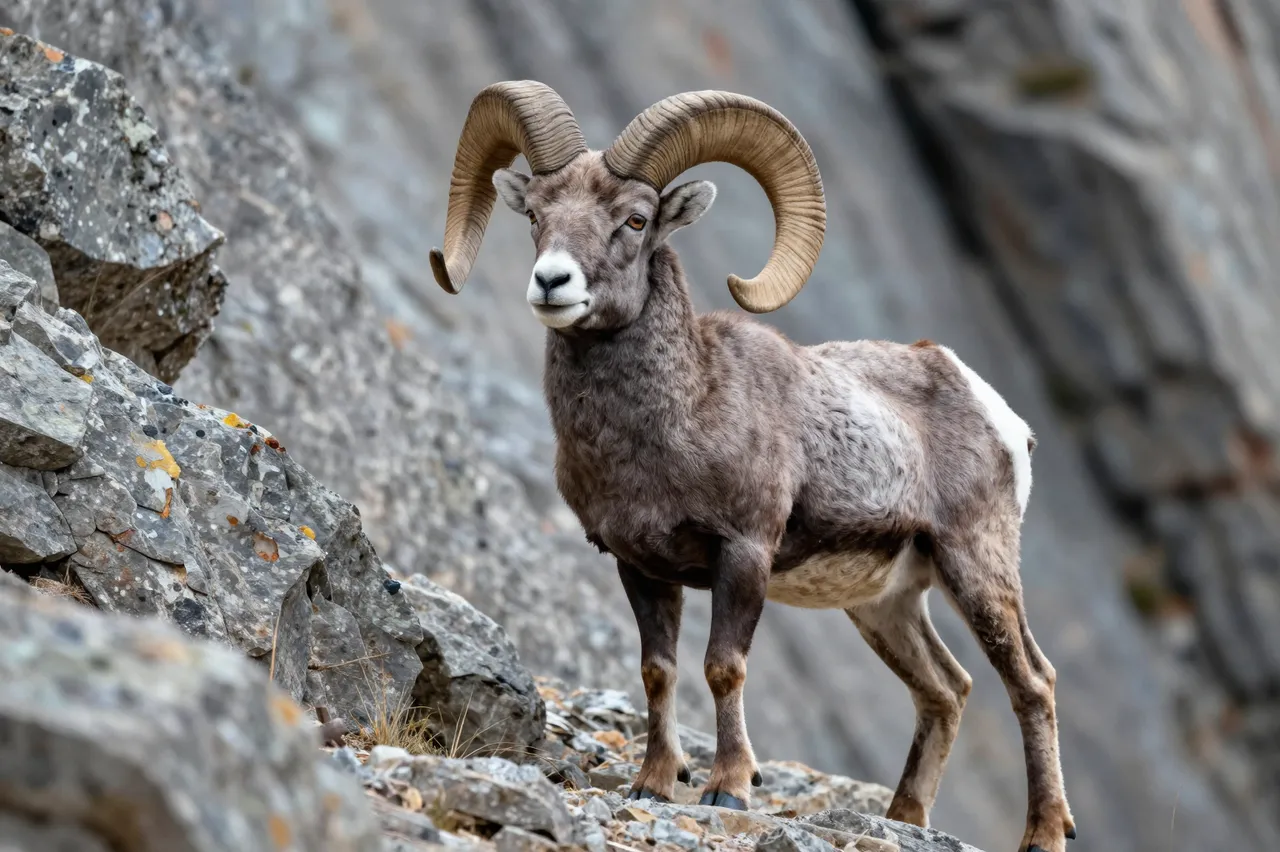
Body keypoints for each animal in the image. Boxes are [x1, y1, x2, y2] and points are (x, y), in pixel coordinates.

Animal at [429, 81, 1076, 852]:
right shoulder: (638, 565)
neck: (681, 414)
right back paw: (903, 818)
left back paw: (1044, 832)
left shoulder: (743, 554)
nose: (552, 282)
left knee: (1030, 682)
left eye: (635, 219)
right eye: (536, 214)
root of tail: (996, 411)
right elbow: (658, 670)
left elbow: (723, 667)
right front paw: (654, 782)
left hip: (976, 566)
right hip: (886, 604)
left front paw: (728, 789)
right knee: (946, 689)